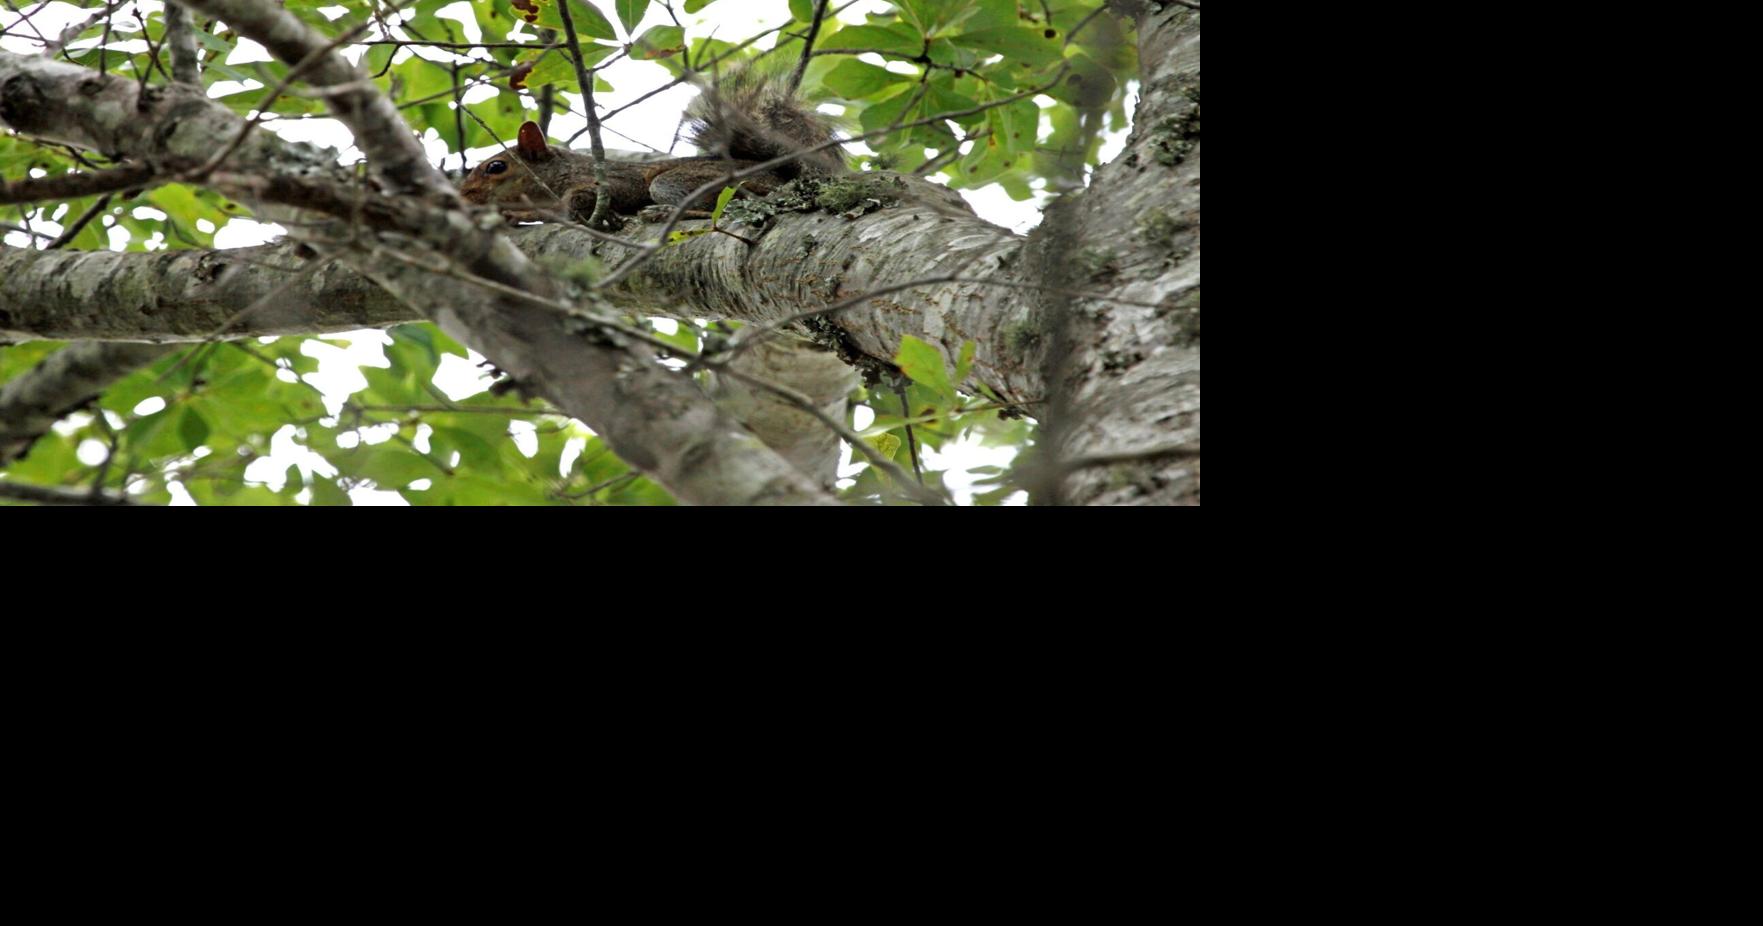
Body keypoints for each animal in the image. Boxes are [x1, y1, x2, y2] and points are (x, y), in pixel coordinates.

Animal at [459, 72, 846, 226]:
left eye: (496, 167)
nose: (463, 196)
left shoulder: (612, 182)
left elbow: (590, 198)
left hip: (685, 182)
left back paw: (661, 213)